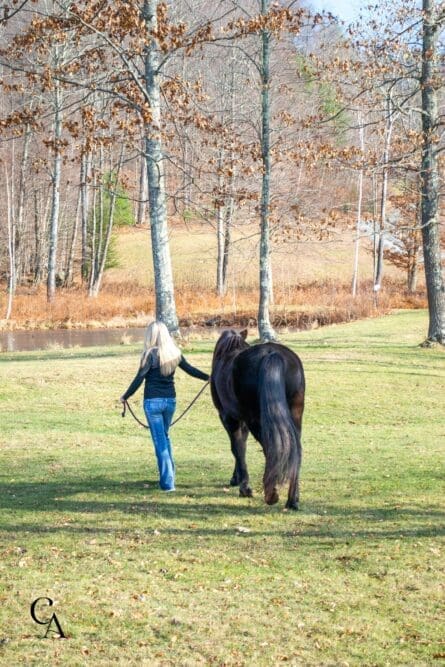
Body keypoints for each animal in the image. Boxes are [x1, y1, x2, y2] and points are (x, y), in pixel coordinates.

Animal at [210, 330, 304, 512]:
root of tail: (272, 353)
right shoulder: (242, 421)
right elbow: (241, 446)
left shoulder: (228, 418)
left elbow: (237, 448)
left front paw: (243, 486)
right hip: (295, 415)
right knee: (295, 450)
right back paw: (292, 500)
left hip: (255, 420)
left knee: (270, 449)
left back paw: (271, 494)